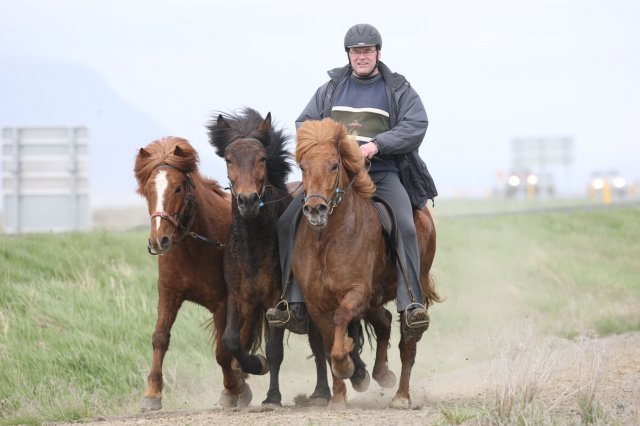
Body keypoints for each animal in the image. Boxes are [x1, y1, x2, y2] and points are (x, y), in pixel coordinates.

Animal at [134, 136, 251, 410]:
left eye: (177, 188)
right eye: (148, 190)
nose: (159, 241)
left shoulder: (223, 302)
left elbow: (222, 351)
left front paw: (231, 389)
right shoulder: (168, 294)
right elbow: (160, 338)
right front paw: (152, 393)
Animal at [209, 107, 332, 406]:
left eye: (262, 158)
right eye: (229, 159)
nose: (248, 201)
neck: (253, 246)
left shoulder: (276, 301)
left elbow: (275, 350)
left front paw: (272, 396)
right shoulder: (239, 296)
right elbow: (231, 340)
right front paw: (255, 364)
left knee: (321, 344)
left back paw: (327, 390)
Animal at [292, 119, 442, 410]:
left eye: (334, 165)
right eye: (303, 167)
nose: (315, 209)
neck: (327, 241)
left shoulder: (357, 292)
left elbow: (340, 321)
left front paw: (347, 365)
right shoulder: (317, 303)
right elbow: (328, 344)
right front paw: (339, 397)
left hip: (407, 291)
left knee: (408, 343)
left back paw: (401, 396)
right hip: (374, 298)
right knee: (384, 321)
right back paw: (382, 374)